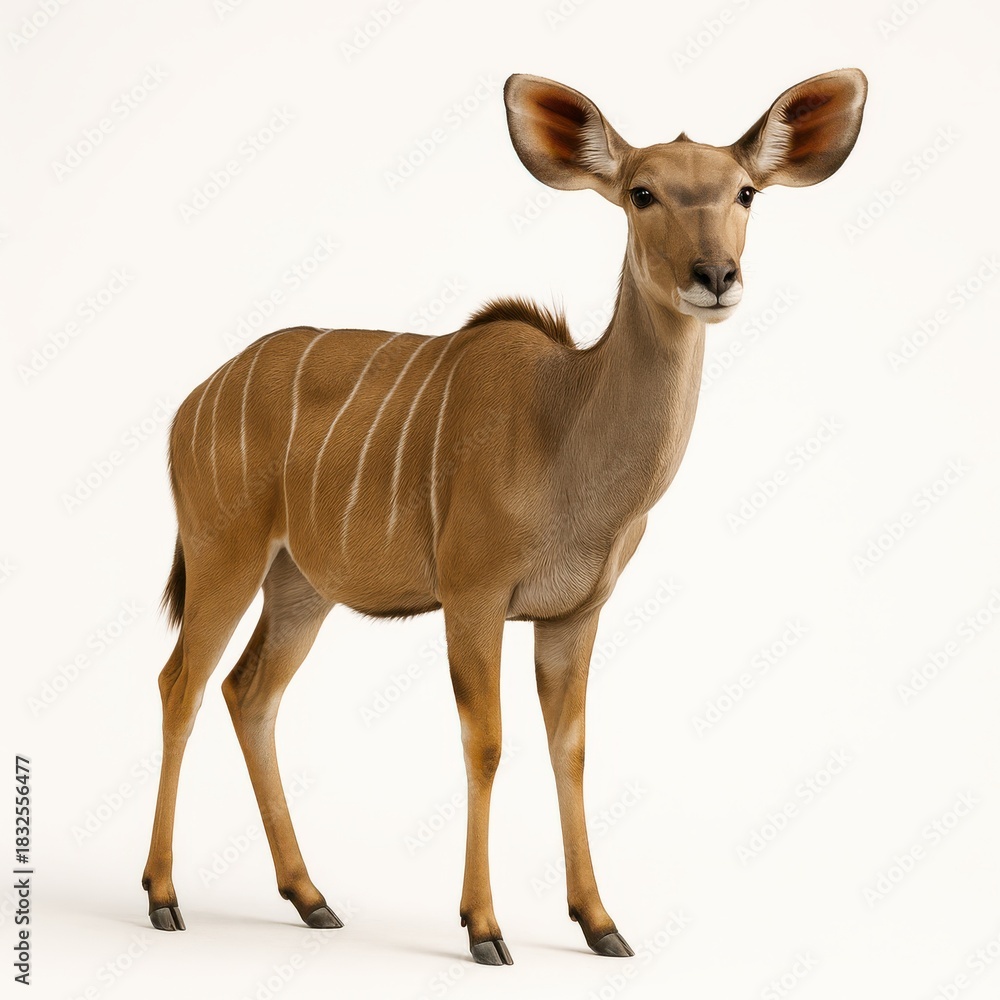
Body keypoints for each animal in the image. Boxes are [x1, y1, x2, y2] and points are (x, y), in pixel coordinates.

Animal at [142, 69, 867, 965]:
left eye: (745, 193)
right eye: (642, 192)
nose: (715, 274)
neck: (567, 430)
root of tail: (189, 405)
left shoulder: (574, 614)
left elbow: (571, 748)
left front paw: (601, 923)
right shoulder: (474, 595)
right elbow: (485, 742)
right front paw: (484, 928)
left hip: (301, 585)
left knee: (249, 692)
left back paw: (311, 898)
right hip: (226, 553)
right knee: (182, 683)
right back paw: (164, 897)